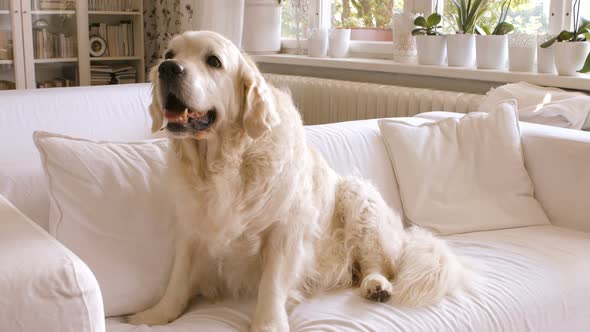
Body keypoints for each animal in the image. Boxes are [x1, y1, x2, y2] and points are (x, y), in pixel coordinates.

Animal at [128, 30, 468, 330]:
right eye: (169, 54)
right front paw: (157, 315)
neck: (224, 163)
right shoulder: (192, 227)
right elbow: (178, 277)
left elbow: (272, 285)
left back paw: (376, 285)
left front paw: (268, 325)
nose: (168, 69)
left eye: (213, 61)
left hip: (358, 197)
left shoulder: (285, 230)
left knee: (377, 263)